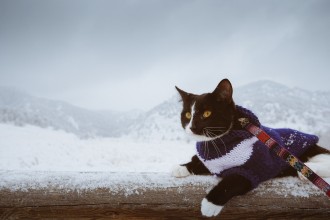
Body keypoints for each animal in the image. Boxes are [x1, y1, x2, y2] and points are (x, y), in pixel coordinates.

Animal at [173, 78, 330, 217]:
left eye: (207, 114)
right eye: (188, 114)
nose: (192, 127)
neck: (217, 143)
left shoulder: (254, 168)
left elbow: (231, 182)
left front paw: (210, 204)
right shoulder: (213, 162)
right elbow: (200, 163)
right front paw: (182, 168)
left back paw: (308, 170)